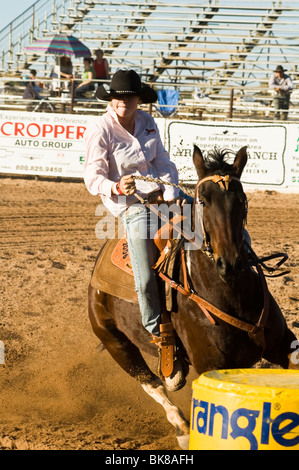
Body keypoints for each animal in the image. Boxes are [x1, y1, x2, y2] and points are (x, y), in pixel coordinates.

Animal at [88, 145, 298, 450]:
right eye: (203, 201)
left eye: (243, 200)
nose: (230, 263)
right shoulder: (210, 365)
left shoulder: (283, 344)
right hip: (113, 340)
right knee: (150, 382)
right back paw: (182, 427)